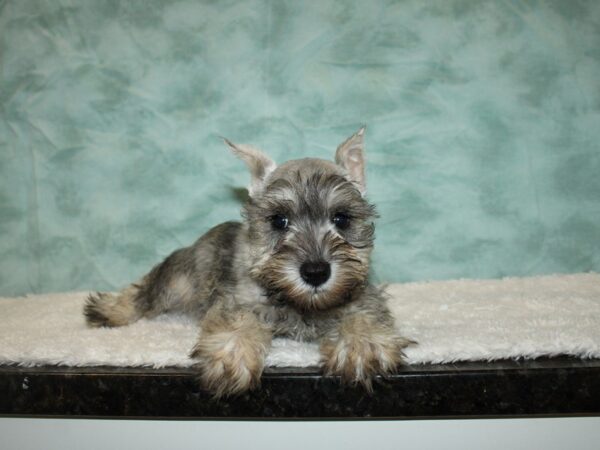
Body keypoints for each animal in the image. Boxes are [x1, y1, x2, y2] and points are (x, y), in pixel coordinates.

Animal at [85, 127, 412, 398]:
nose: (316, 272)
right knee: (145, 290)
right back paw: (109, 309)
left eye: (342, 218)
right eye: (279, 220)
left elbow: (364, 314)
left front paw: (363, 346)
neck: (301, 304)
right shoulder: (236, 298)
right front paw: (233, 354)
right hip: (179, 281)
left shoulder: (361, 293)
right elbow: (239, 320)